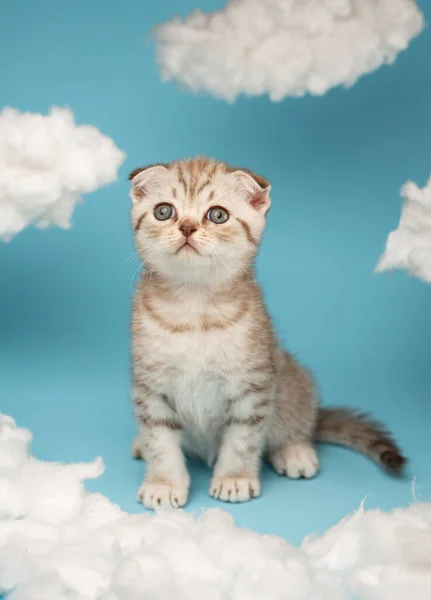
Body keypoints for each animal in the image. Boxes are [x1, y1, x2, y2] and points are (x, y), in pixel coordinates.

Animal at [130, 157, 406, 508]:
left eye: (217, 215)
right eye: (164, 211)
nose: (188, 227)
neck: (195, 307)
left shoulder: (253, 384)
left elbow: (243, 438)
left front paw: (234, 478)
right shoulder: (150, 386)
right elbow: (160, 440)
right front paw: (163, 483)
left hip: (290, 376)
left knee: (300, 420)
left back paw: (295, 450)